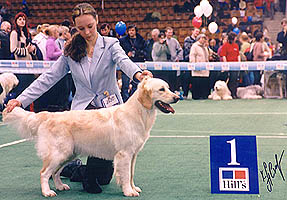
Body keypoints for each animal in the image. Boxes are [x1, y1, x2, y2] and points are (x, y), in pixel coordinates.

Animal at [2, 77, 180, 198]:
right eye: (161, 89)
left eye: (168, 88)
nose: (177, 97)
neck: (139, 113)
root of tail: (47, 115)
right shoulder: (124, 154)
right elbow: (125, 175)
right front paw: (128, 191)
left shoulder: (133, 155)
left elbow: (131, 174)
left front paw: (133, 187)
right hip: (59, 153)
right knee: (44, 173)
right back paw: (48, 192)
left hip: (68, 154)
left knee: (56, 173)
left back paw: (60, 186)